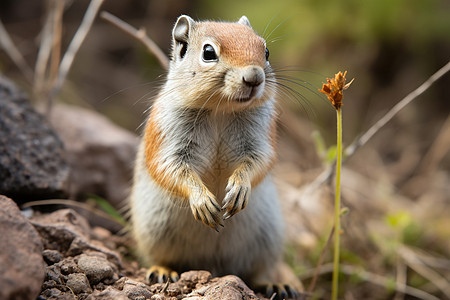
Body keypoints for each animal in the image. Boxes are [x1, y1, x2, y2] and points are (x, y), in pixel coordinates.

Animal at [130, 15, 302, 298]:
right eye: (208, 52)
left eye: (265, 51)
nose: (254, 77)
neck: (221, 109)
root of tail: (213, 267)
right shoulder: (169, 140)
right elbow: (173, 169)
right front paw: (202, 201)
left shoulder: (261, 140)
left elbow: (258, 162)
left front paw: (240, 188)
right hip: (155, 230)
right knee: (161, 257)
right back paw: (163, 270)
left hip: (266, 239)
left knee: (258, 271)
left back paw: (276, 284)